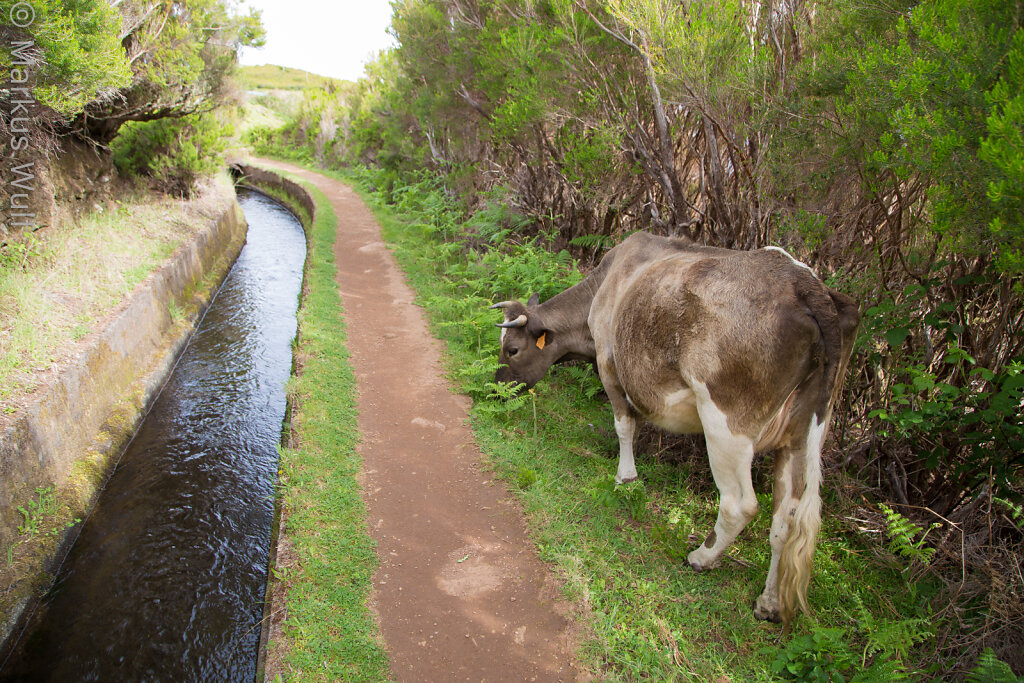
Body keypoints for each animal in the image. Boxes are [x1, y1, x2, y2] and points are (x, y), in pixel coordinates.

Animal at [491, 232, 860, 626]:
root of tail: (803, 282)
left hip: (726, 425)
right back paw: (769, 602)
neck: (605, 285)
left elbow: (625, 425)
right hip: (800, 436)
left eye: (512, 350)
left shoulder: (609, 363)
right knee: (785, 522)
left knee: (740, 504)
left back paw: (702, 557)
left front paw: (626, 478)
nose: (495, 386)